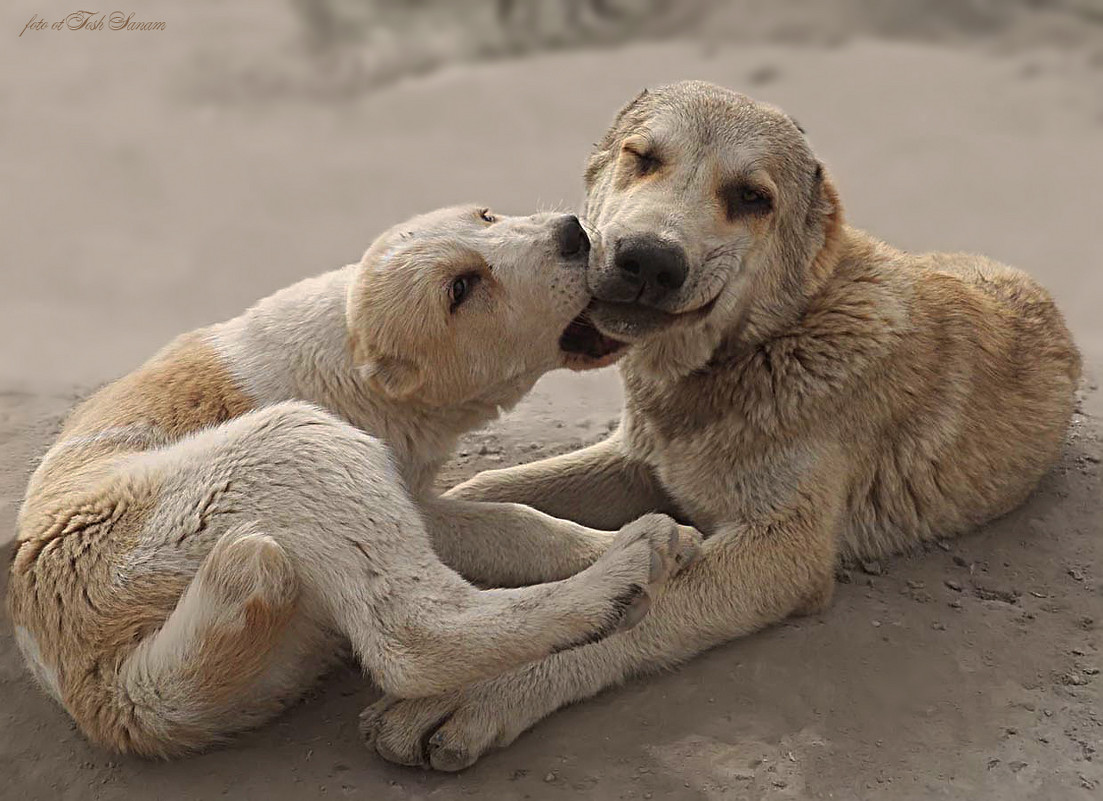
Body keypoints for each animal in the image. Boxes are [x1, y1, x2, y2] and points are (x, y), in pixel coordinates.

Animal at [8, 207, 697, 759]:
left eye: (487, 216)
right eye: (462, 288)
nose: (574, 233)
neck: (351, 354)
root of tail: (96, 691)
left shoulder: (401, 492)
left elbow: (513, 524)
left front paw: (617, 543)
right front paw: (618, 554)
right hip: (285, 450)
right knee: (414, 637)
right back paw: (621, 577)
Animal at [366, 81, 1080, 772]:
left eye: (751, 198)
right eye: (642, 158)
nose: (648, 261)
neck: (758, 347)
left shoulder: (784, 549)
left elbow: (638, 612)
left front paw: (477, 688)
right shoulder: (637, 461)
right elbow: (485, 491)